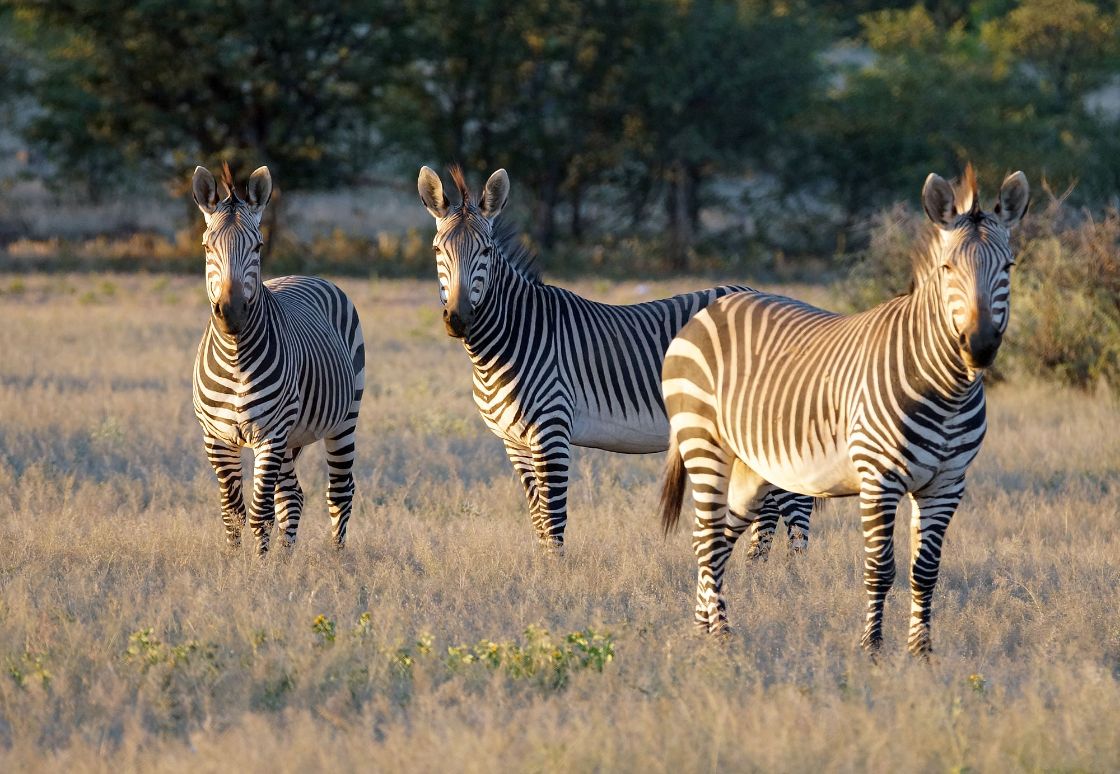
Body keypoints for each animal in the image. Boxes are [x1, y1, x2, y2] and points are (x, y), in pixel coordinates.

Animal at [192, 164, 365, 555]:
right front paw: (235, 562)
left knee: (339, 492)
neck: (235, 355)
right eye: (208, 246)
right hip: (291, 436)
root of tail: (302, 275)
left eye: (257, 246)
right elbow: (233, 512)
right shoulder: (216, 438)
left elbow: (260, 514)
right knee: (293, 495)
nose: (231, 313)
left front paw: (259, 568)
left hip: (344, 418)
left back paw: (338, 559)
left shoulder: (270, 434)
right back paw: (286, 558)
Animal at [417, 164, 814, 555]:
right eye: (437, 250)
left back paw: (790, 573)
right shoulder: (514, 443)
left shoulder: (552, 430)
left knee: (796, 508)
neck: (511, 338)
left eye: (485, 250)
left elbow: (553, 522)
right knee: (767, 510)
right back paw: (755, 569)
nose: (458, 318)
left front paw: (553, 575)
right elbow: (537, 520)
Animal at [659, 166, 1029, 655]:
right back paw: (721, 634)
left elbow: (925, 572)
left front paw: (921, 653)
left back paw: (702, 630)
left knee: (717, 538)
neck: (947, 389)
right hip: (703, 442)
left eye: (1008, 268)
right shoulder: (879, 479)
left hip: (752, 466)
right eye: (948, 269)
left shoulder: (947, 484)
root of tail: (710, 309)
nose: (981, 346)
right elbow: (881, 569)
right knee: (705, 538)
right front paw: (871, 648)